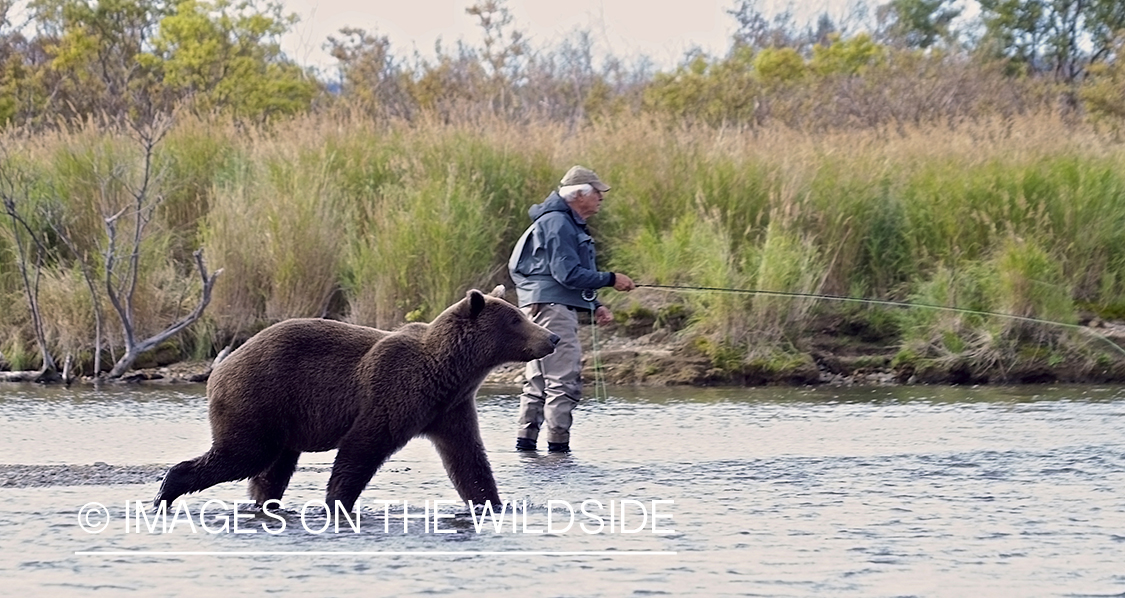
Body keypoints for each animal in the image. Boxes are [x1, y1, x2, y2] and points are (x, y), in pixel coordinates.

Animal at [156, 287, 560, 512]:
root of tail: (219, 368)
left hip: (282, 421)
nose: (552, 337)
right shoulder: (394, 393)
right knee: (243, 455)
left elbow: (468, 460)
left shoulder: (448, 408)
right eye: (516, 320)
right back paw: (166, 493)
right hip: (258, 400)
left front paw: (493, 503)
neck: (446, 371)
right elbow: (361, 447)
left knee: (270, 471)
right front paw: (338, 502)